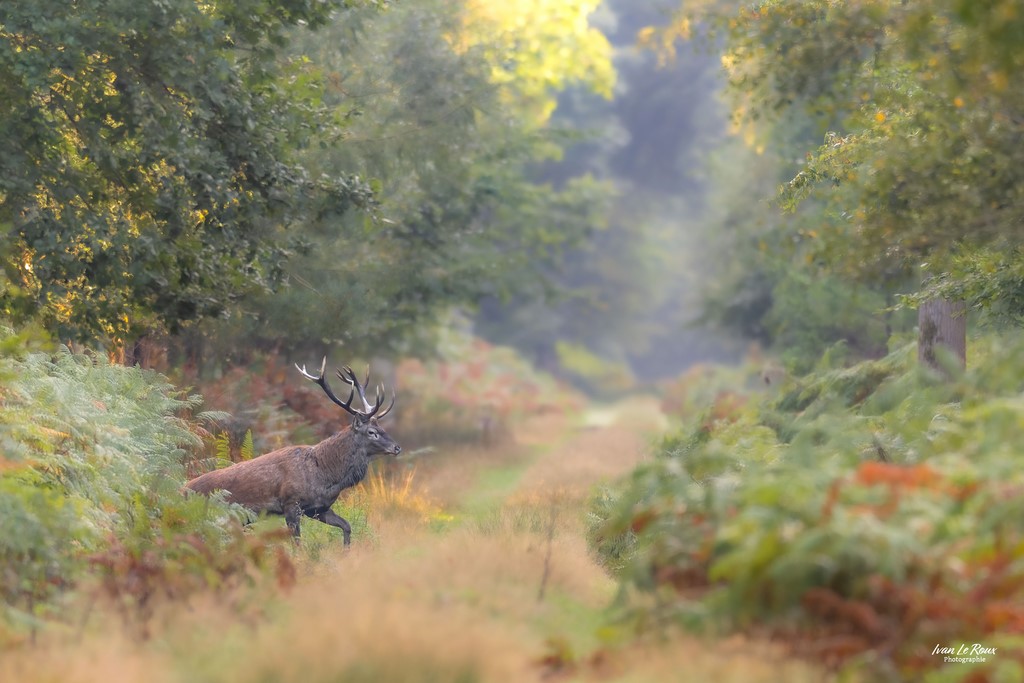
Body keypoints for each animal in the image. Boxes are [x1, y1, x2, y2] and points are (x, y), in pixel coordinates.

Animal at [184, 359, 401, 545]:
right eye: (372, 432)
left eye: (382, 428)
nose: (397, 447)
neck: (326, 476)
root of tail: (182, 489)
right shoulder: (291, 504)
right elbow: (297, 543)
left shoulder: (318, 509)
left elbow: (347, 526)